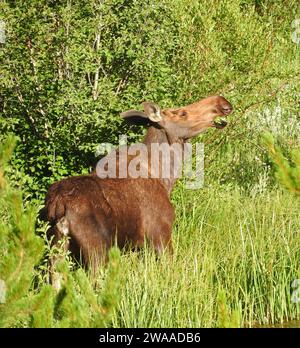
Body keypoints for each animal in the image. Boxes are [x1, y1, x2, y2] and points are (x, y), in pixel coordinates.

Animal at [43, 94, 233, 278]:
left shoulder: (135, 247)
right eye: (182, 113)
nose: (222, 103)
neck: (165, 177)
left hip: (56, 246)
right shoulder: (161, 234)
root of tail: (59, 205)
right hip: (97, 249)